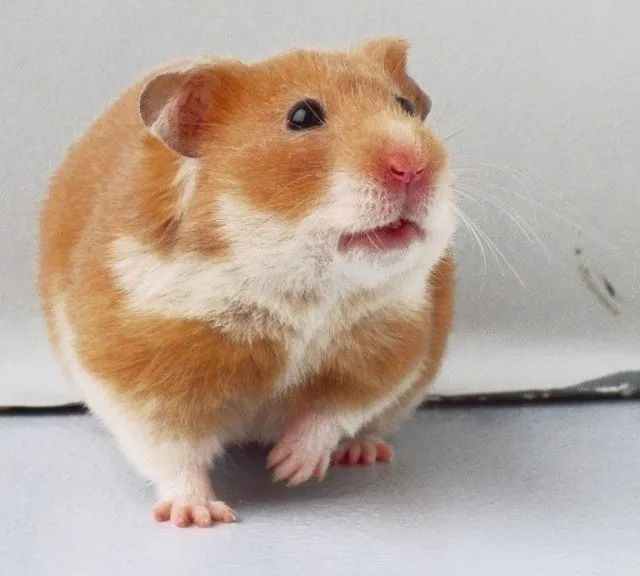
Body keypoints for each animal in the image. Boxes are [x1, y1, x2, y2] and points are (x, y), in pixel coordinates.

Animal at [39, 38, 456, 528]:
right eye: (302, 116)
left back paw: (363, 452)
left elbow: (333, 409)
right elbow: (171, 452)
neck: (298, 287)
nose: (414, 166)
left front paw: (288, 468)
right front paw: (198, 516)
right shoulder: (138, 374)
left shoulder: (388, 348)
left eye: (405, 106)